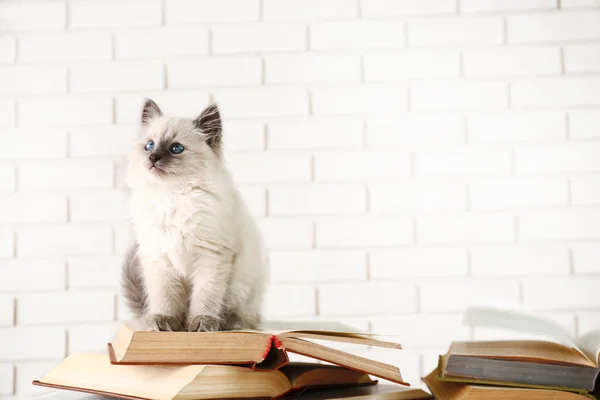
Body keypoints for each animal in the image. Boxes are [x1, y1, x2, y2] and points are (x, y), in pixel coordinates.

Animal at [120, 99, 266, 332]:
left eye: (176, 148)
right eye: (150, 145)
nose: (153, 158)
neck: (172, 195)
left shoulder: (211, 256)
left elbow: (205, 296)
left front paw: (201, 322)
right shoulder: (160, 259)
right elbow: (166, 299)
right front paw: (164, 321)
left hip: (245, 286)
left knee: (245, 317)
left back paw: (224, 322)